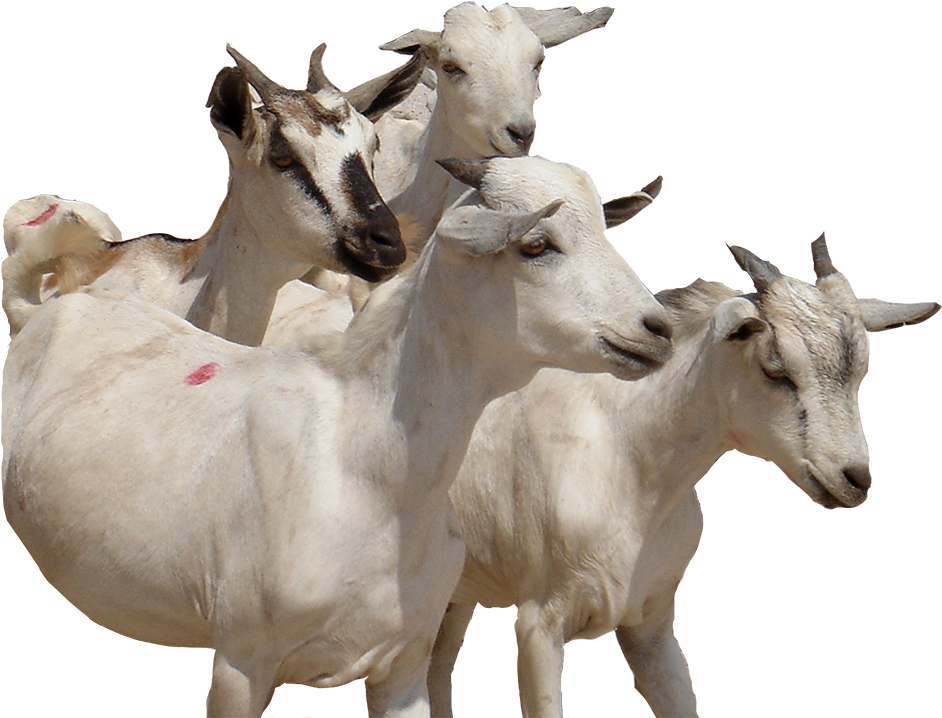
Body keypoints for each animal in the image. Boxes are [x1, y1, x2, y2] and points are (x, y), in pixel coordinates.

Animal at [1, 156, 672, 718]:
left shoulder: (404, 663)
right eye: (536, 244)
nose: (658, 330)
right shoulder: (243, 660)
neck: (362, 457)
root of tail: (47, 308)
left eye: (605, 232)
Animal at [426, 235, 939, 718]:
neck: (628, 455)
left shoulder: (650, 625)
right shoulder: (540, 625)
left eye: (860, 373)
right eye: (775, 368)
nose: (852, 478)